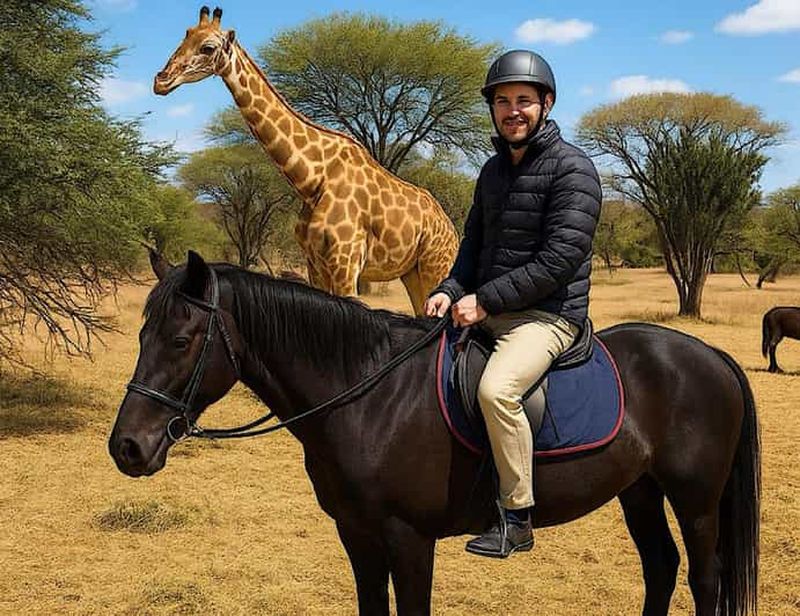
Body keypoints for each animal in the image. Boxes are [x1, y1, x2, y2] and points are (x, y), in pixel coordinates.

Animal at [109, 251, 760, 616]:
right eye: (141, 335)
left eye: (180, 340)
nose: (127, 448)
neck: (369, 395)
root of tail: (712, 356)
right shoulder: (357, 535)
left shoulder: (409, 538)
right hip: (640, 491)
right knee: (661, 568)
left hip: (695, 499)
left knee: (703, 578)